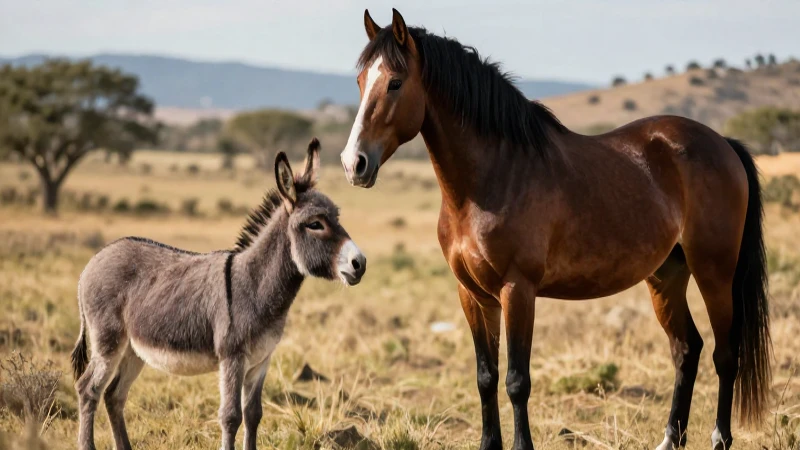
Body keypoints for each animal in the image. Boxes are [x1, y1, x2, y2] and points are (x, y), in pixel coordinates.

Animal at [70, 139, 367, 450]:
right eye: (315, 224)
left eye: (336, 218)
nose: (360, 263)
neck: (256, 284)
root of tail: (93, 261)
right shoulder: (232, 358)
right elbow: (230, 416)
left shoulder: (261, 361)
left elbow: (253, 414)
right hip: (108, 342)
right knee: (88, 389)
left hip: (133, 349)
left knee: (113, 395)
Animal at [340, 9, 770, 450]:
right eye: (360, 81)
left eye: (395, 82)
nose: (353, 163)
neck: (492, 177)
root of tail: (722, 143)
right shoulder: (472, 294)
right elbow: (485, 377)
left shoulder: (518, 290)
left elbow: (516, 381)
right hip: (666, 275)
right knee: (687, 349)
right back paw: (670, 439)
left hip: (714, 272)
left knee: (725, 354)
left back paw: (719, 438)